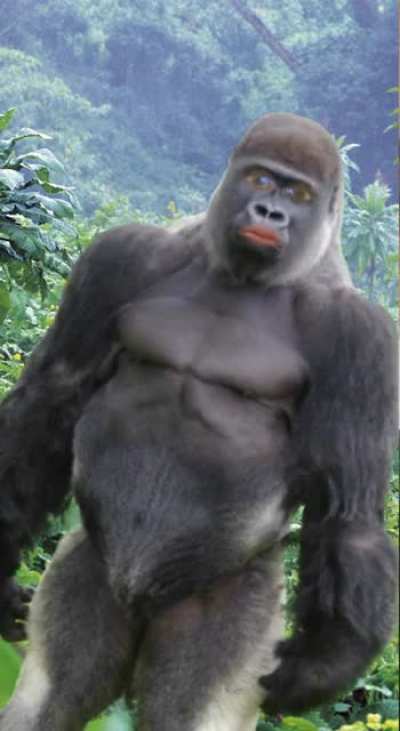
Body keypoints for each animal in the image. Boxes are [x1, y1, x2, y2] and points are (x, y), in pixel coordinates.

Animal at [0, 113, 397, 731]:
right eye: (262, 180)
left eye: (300, 195)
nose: (270, 213)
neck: (244, 275)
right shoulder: (121, 257)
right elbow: (51, 398)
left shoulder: (364, 338)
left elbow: (348, 511)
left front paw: (327, 661)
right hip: (87, 562)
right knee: (50, 695)